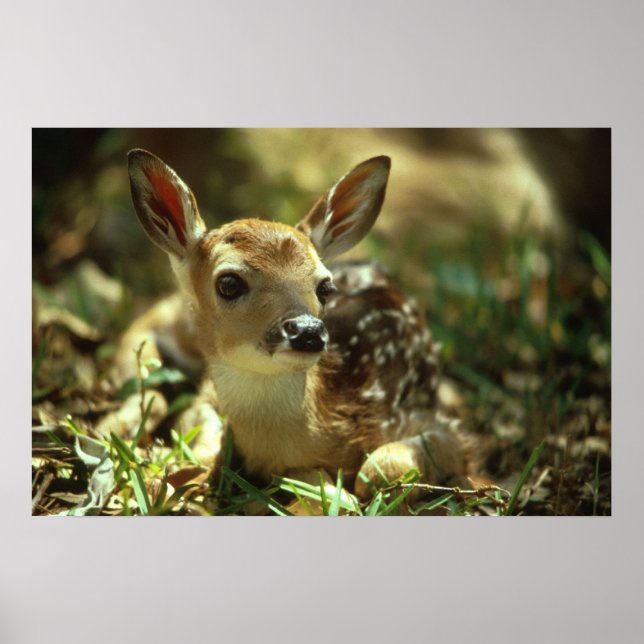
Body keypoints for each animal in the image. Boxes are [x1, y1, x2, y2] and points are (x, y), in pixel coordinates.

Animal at [122, 149, 473, 501]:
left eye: (325, 287)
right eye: (229, 283)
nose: (308, 331)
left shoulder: (445, 426)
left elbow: (375, 470)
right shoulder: (206, 395)